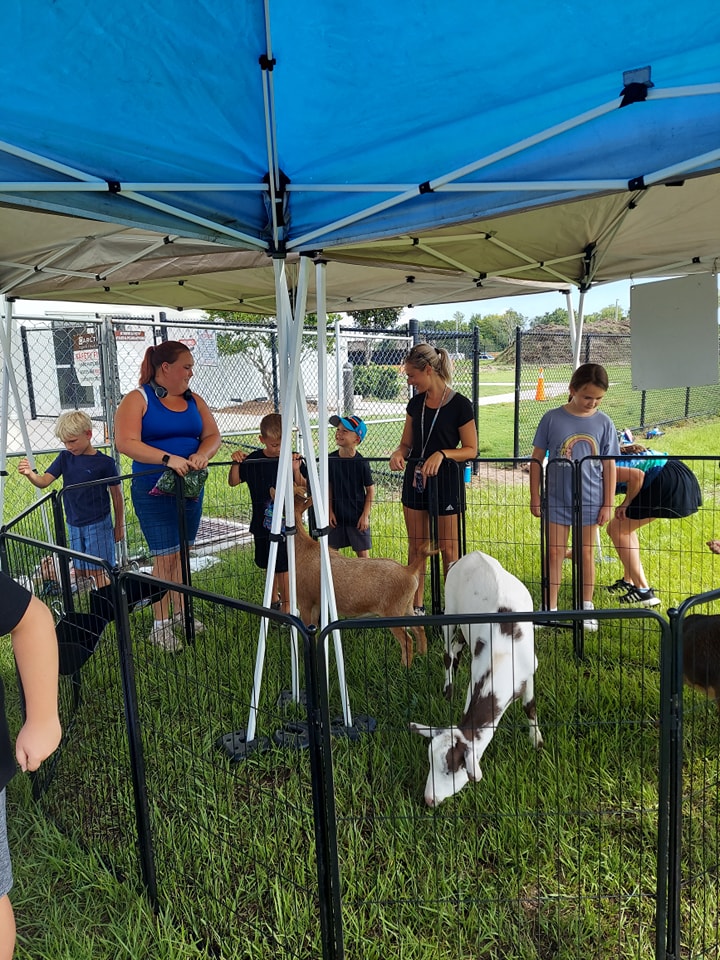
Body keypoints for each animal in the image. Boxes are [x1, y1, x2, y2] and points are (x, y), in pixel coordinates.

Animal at [292, 488, 434, 668]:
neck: (303, 549)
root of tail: (408, 570)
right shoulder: (317, 603)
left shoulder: (305, 601)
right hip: (407, 606)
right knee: (419, 628)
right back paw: (423, 654)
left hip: (392, 612)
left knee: (407, 640)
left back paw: (404, 667)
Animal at [410, 552, 540, 808]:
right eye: (430, 762)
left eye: (451, 769)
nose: (429, 799)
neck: (502, 657)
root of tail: (472, 555)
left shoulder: (529, 670)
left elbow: (529, 706)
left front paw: (536, 741)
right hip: (450, 612)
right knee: (447, 654)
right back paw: (448, 689)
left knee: (457, 647)